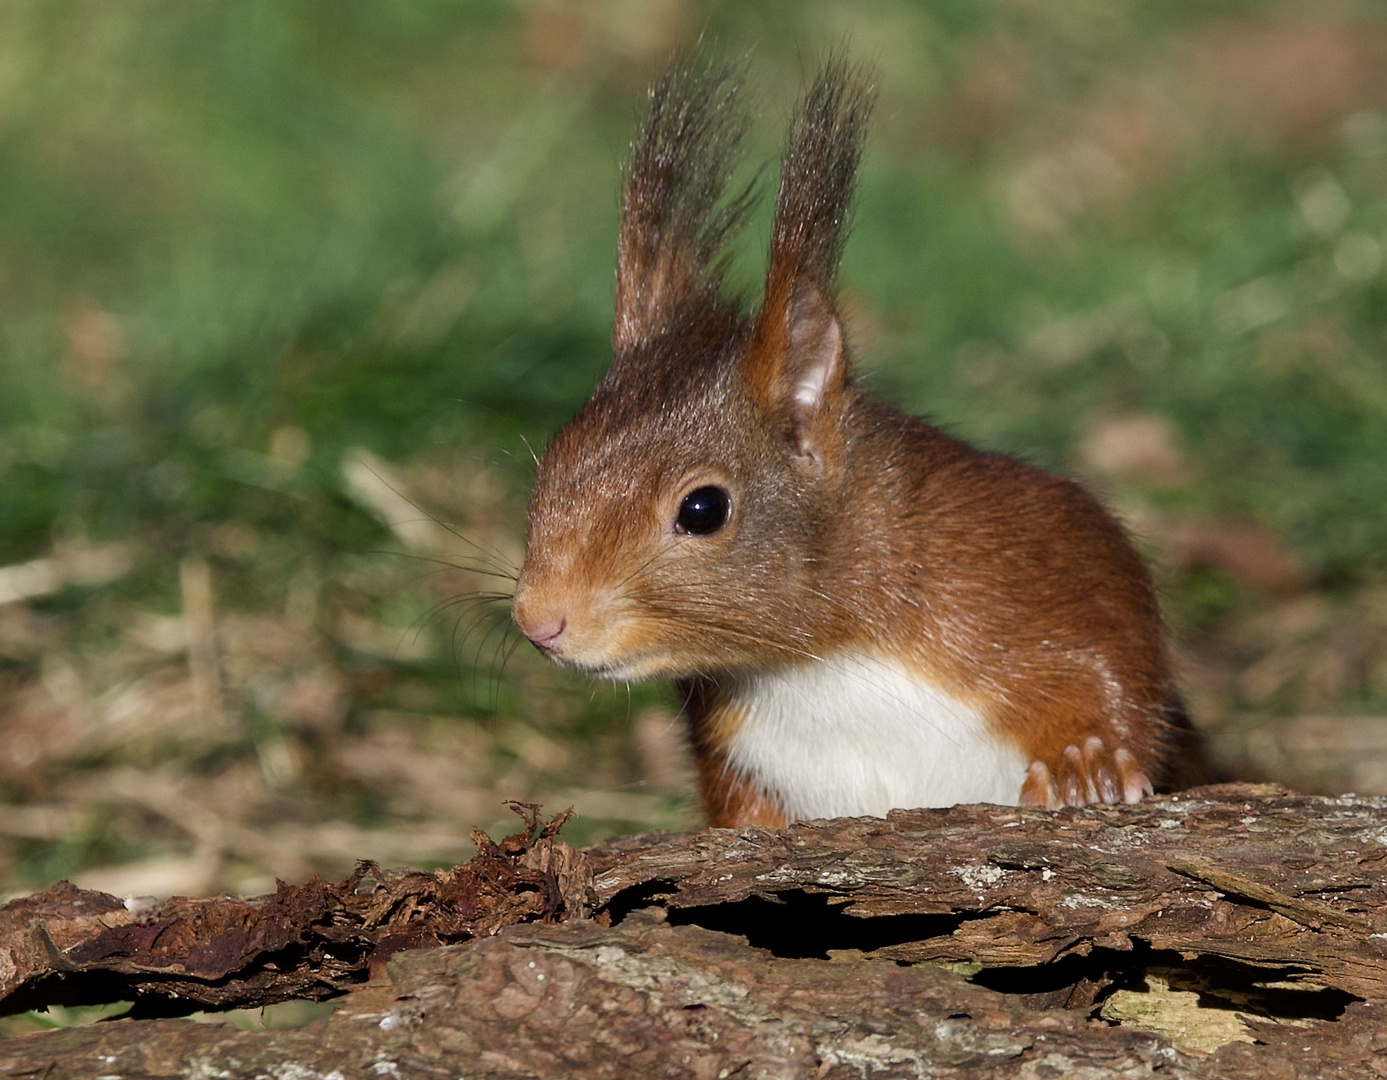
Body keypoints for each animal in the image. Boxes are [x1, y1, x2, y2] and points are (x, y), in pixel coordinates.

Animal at [510, 57, 1181, 826]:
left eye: (703, 510)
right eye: (549, 465)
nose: (538, 620)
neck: (822, 657)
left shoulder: (1039, 557)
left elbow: (1115, 660)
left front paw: (1086, 760)